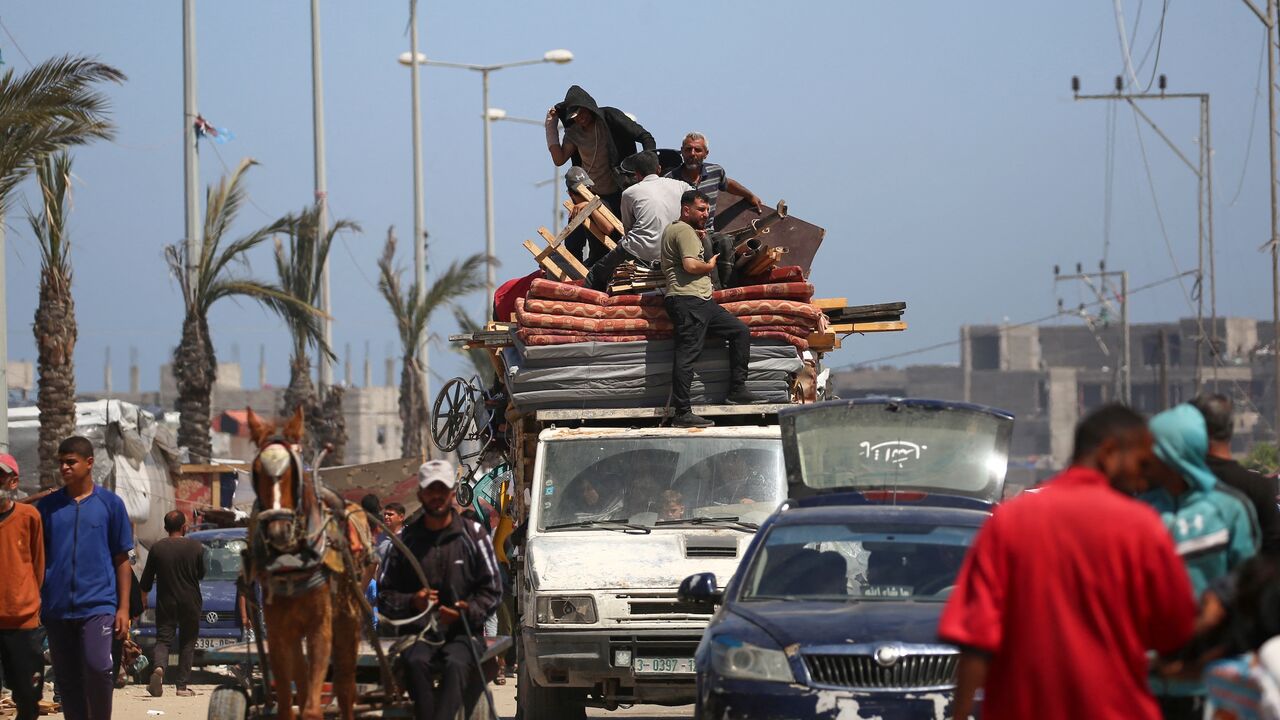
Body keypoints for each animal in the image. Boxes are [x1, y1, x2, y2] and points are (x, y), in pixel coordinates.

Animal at [243, 407, 373, 717]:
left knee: (345, 685)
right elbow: (289, 704)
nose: (279, 530)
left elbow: (313, 707)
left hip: (348, 619)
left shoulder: (320, 628)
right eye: (257, 471)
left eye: (293, 471)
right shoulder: (278, 631)